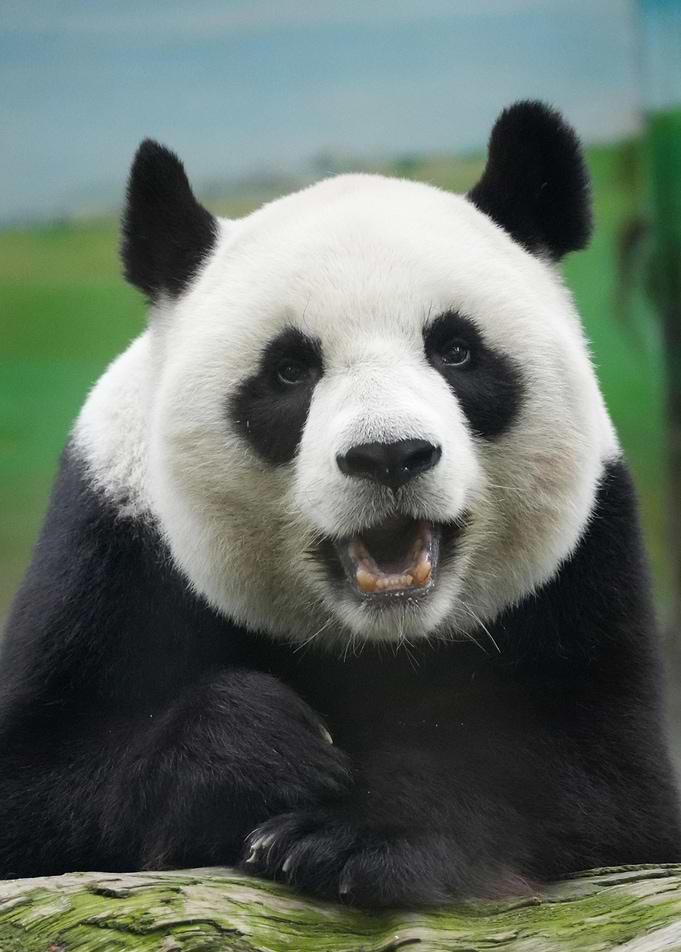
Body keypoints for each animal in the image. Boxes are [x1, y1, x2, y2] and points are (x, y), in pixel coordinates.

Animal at [0, 101, 679, 908]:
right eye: (290, 370)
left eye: (455, 350)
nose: (388, 456)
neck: (378, 638)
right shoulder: (112, 546)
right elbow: (37, 788)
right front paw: (266, 748)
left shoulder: (586, 569)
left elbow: (593, 779)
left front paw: (349, 838)